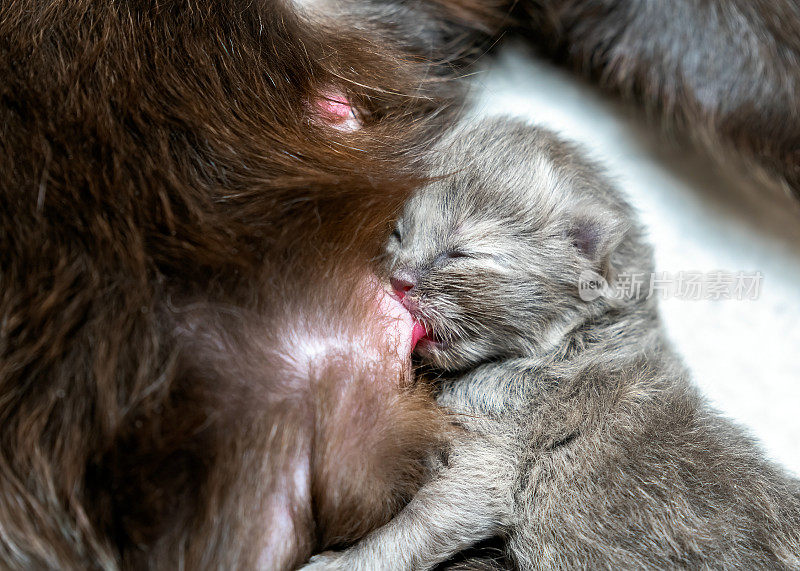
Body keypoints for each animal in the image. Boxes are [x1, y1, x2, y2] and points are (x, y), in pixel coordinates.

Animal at [302, 118, 800, 568]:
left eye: (461, 252)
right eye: (398, 234)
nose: (399, 280)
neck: (575, 342)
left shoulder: (490, 464)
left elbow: (407, 532)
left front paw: (339, 563)